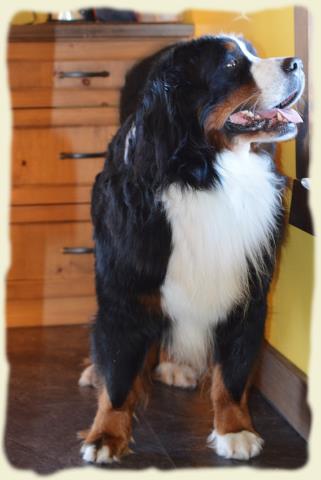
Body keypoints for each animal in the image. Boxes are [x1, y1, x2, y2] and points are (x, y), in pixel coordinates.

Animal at [79, 32, 304, 462]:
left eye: (251, 52)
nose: (298, 63)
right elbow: (118, 373)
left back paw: (175, 364)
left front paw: (235, 429)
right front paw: (106, 435)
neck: (204, 178)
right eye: (231, 65)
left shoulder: (247, 294)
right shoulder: (122, 293)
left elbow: (233, 373)